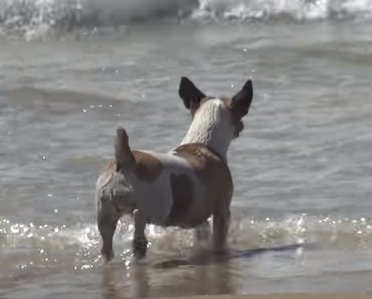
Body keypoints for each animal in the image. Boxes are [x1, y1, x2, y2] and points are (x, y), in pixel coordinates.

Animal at [94, 77, 254, 262]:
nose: (242, 127)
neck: (203, 142)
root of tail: (126, 161)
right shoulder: (222, 210)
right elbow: (218, 240)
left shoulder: (198, 216)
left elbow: (203, 230)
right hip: (157, 207)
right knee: (139, 221)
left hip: (104, 214)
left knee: (107, 244)